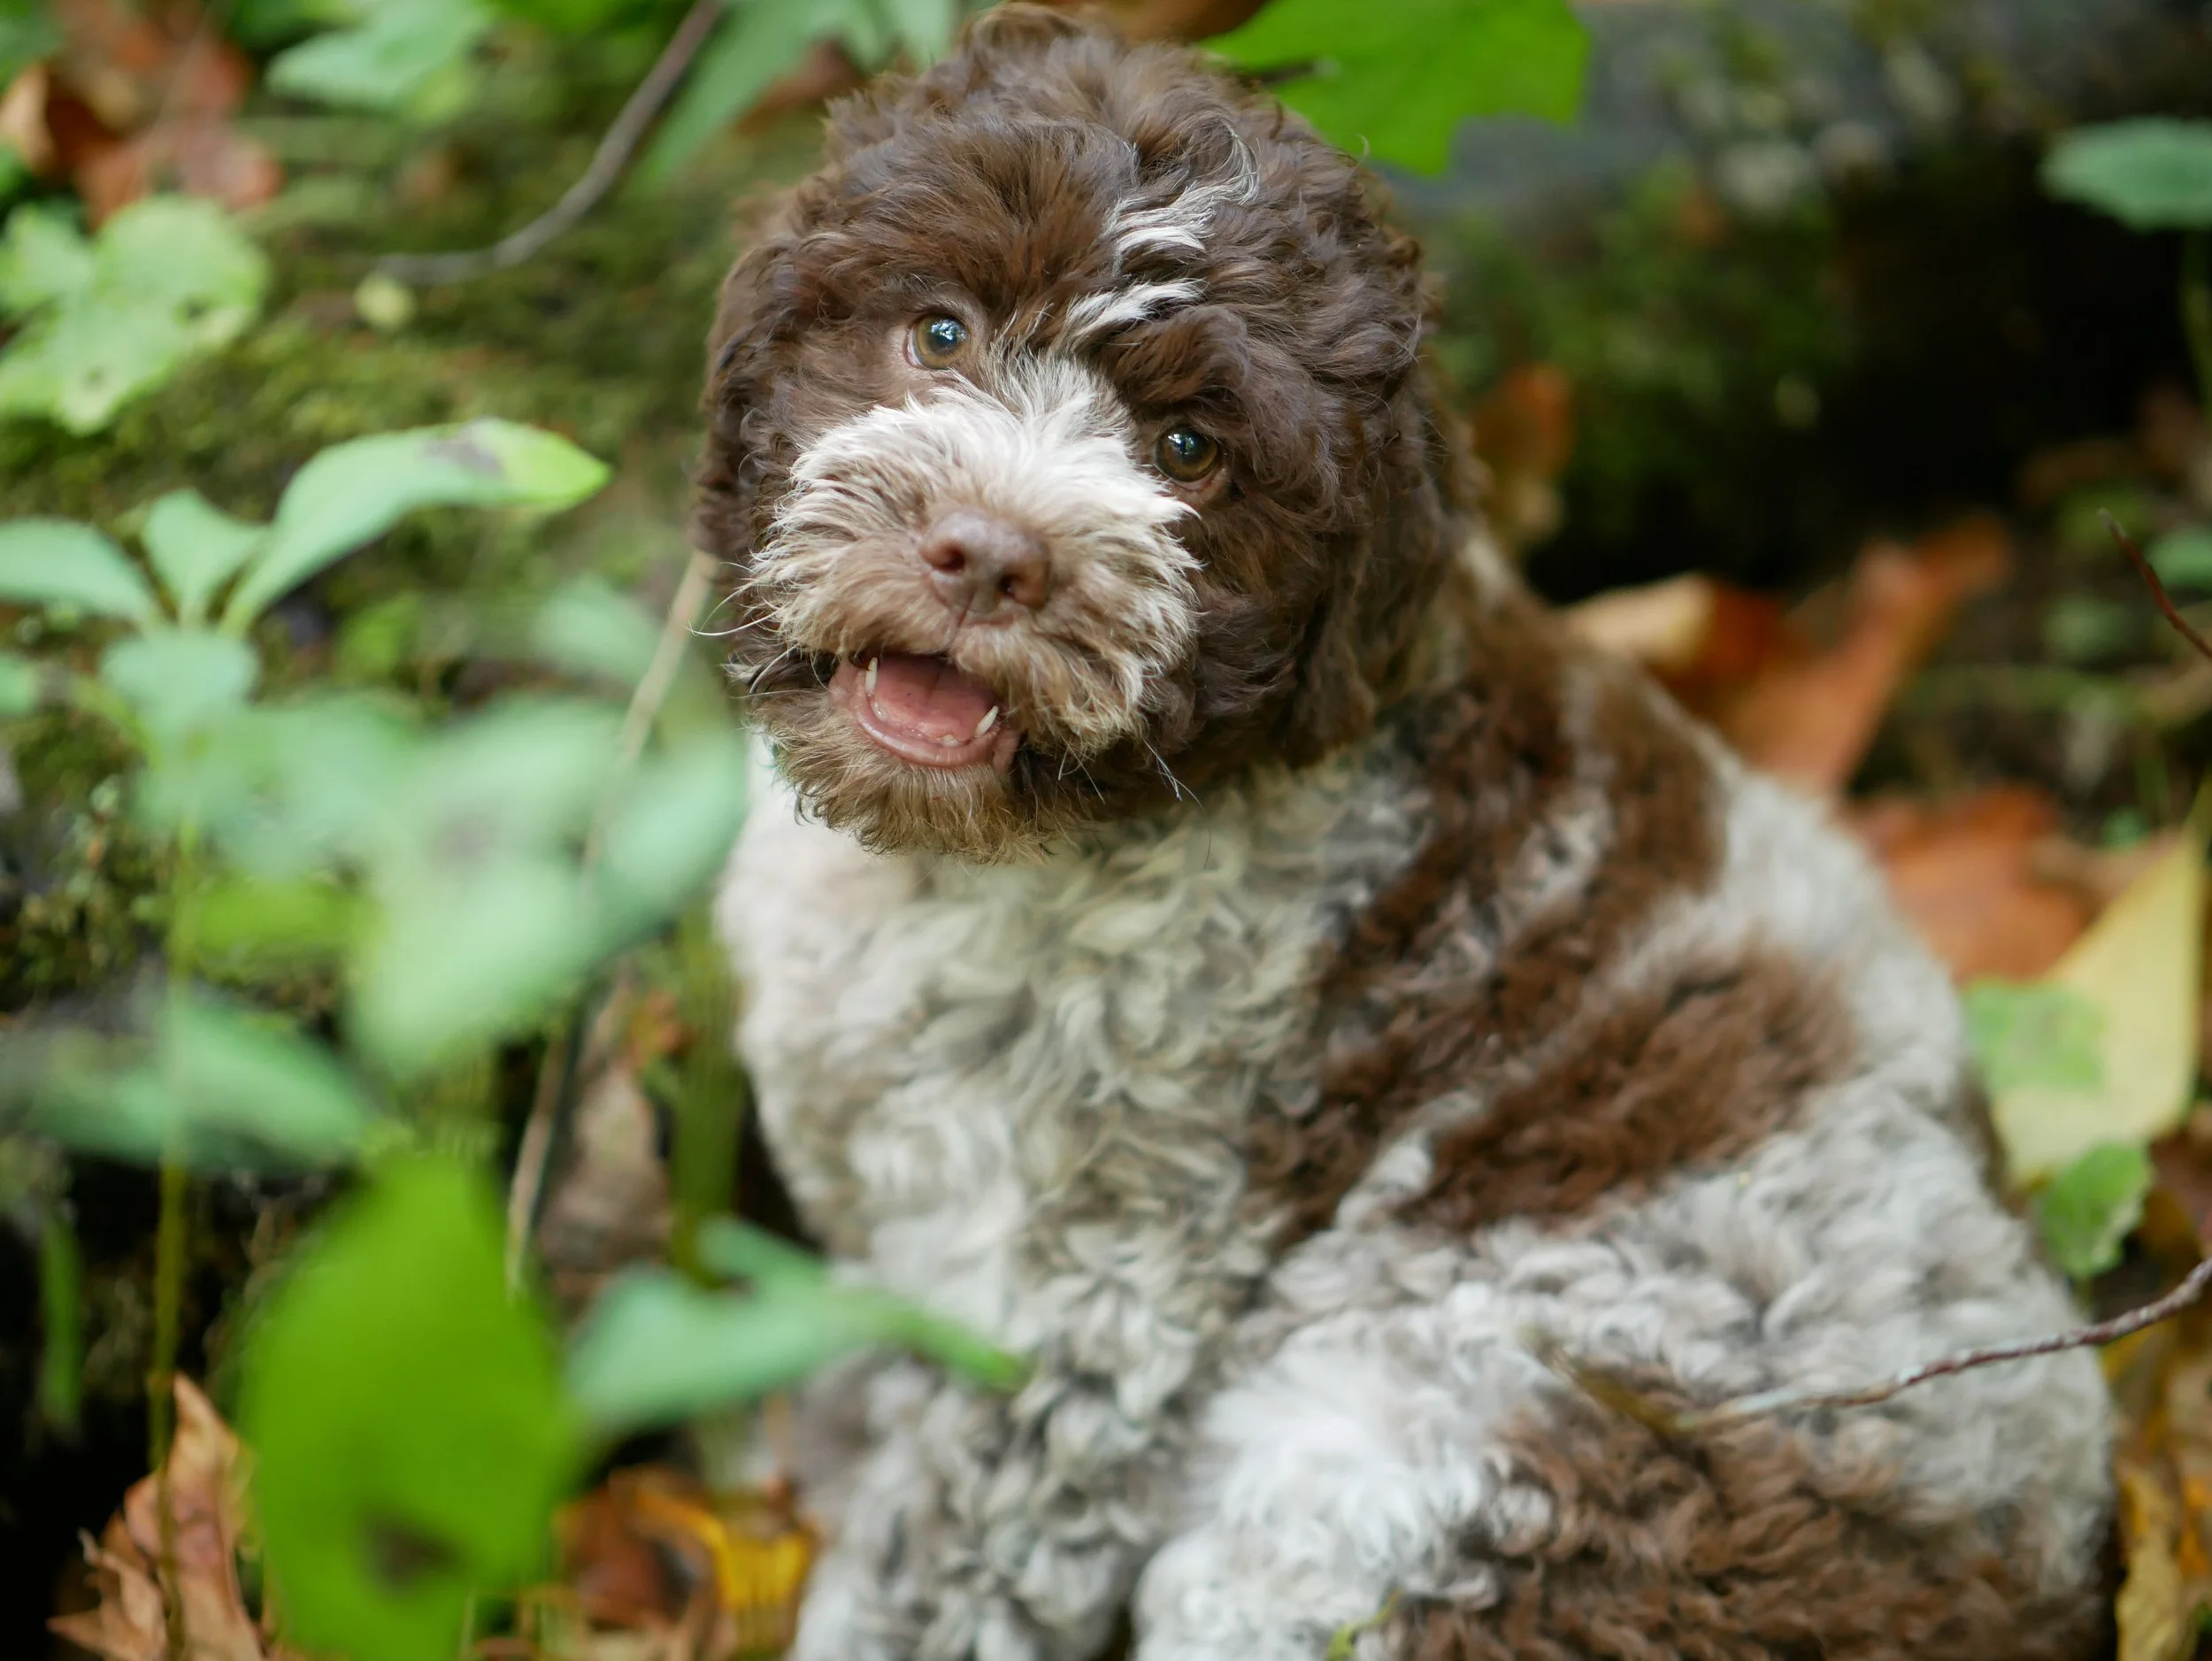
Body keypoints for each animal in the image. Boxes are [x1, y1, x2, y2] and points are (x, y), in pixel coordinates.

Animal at [701, 9, 2112, 1658]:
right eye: (938, 333)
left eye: (1188, 448)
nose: (989, 555)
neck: (996, 855)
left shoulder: (1094, 1297)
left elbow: (948, 1549)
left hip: (1422, 1504)